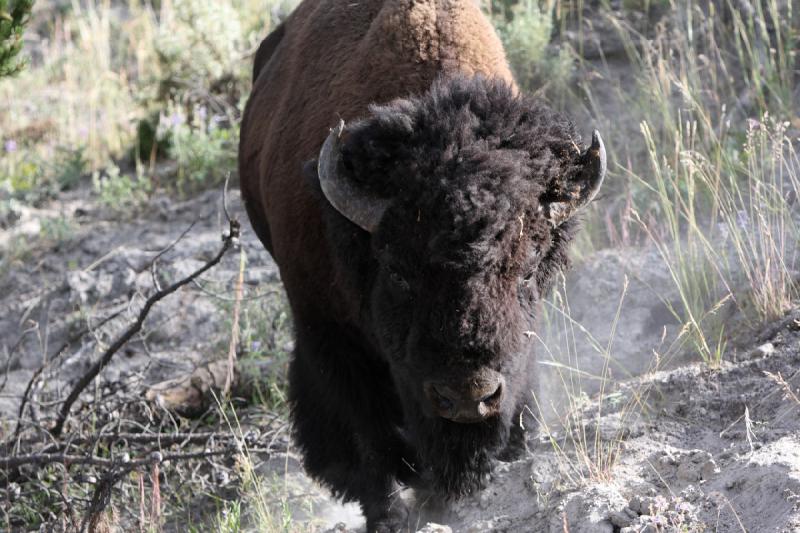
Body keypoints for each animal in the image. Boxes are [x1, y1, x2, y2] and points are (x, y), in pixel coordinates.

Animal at [238, 2, 608, 528]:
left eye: (528, 270)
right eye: (398, 272)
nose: (469, 396)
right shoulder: (326, 330)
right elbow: (366, 432)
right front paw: (388, 515)